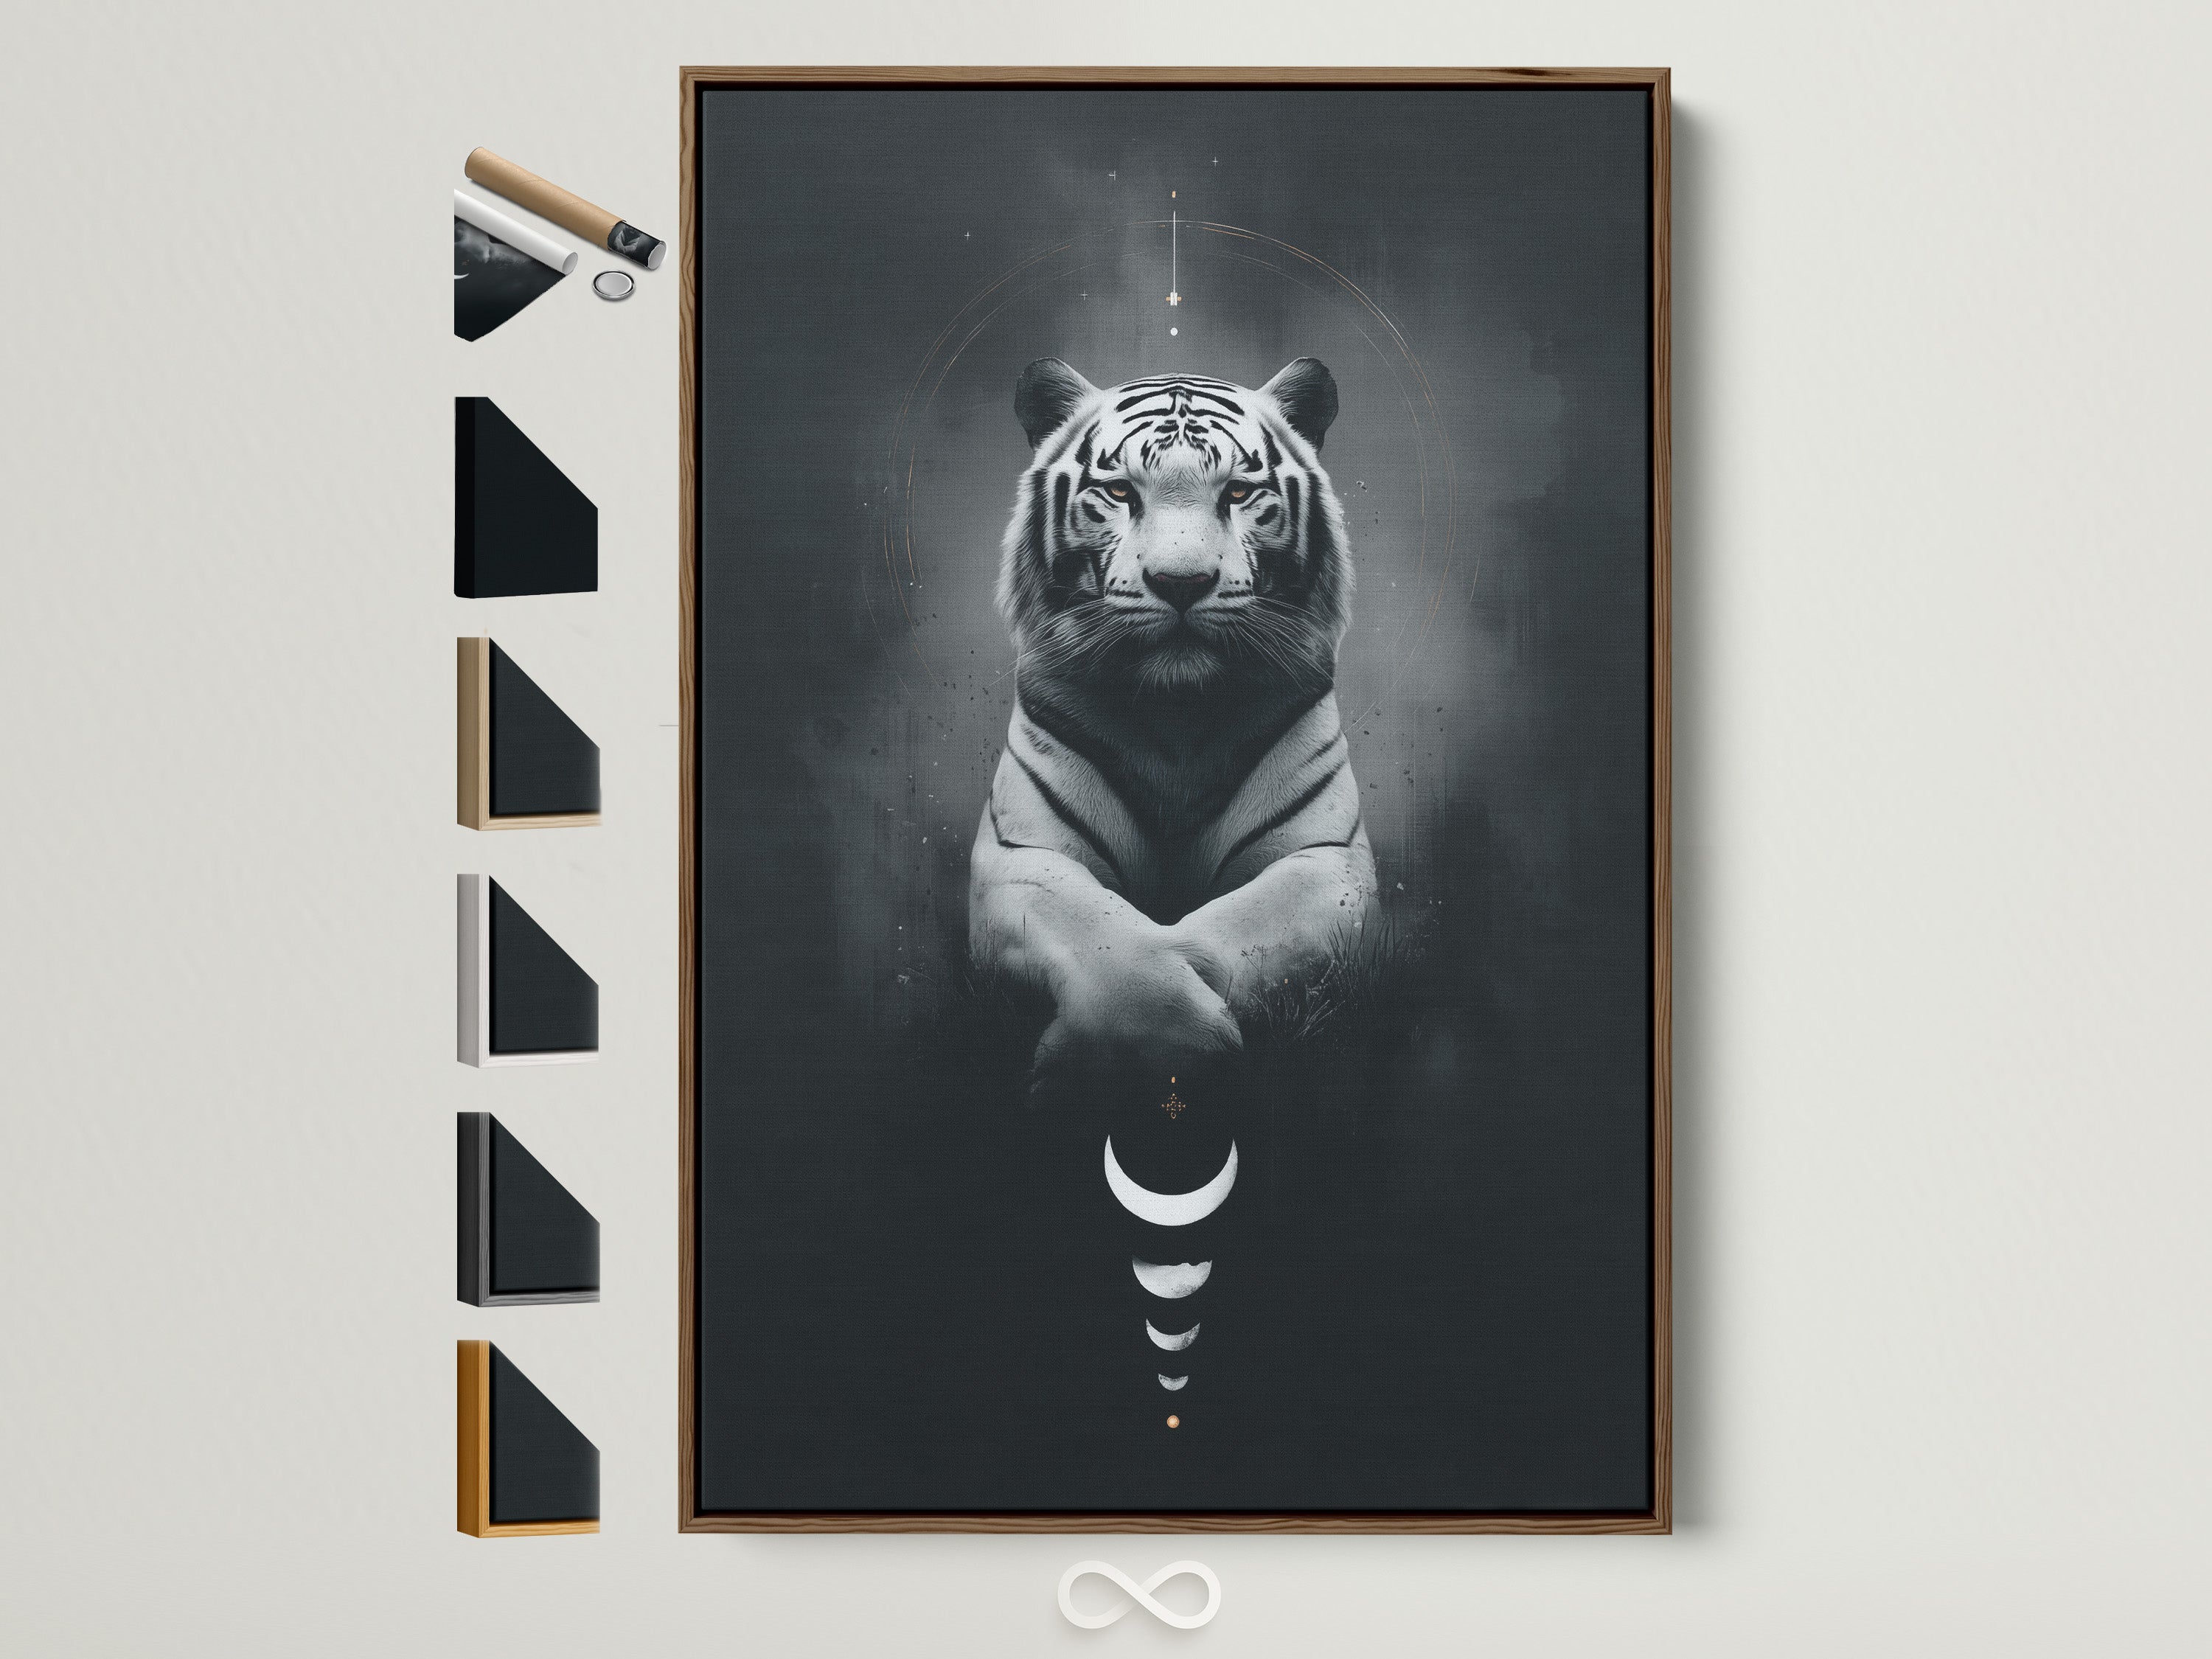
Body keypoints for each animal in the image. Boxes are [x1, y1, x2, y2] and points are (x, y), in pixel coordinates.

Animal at [969, 357, 1380, 1088]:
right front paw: (1141, 1044)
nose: (1181, 582)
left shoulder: (1331, 861)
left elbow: (1230, 927)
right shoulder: (1021, 857)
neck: (1177, 720)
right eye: (1120, 491)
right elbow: (1113, 942)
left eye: (1239, 492)